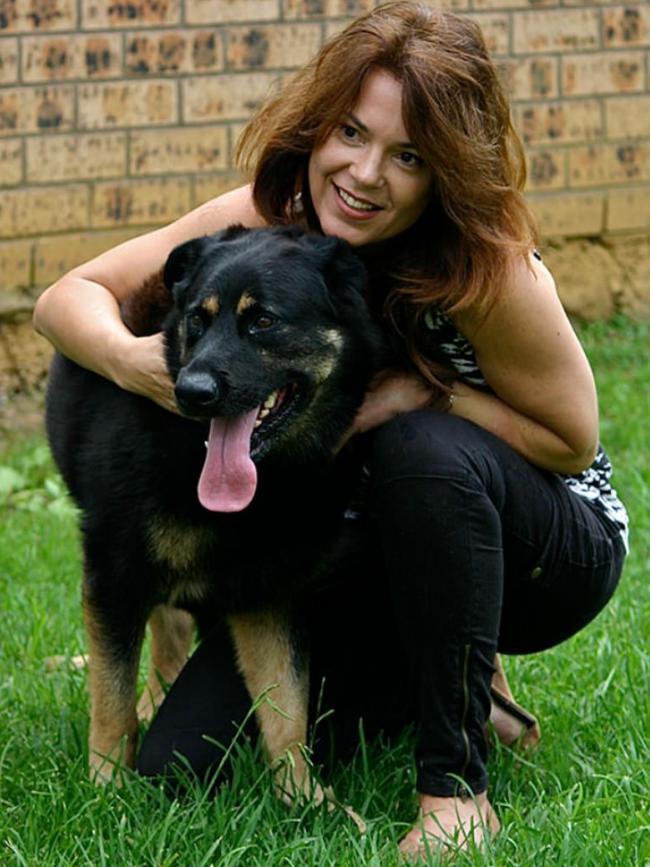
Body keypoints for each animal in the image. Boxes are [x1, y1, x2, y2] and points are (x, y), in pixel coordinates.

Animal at [46, 225, 384, 808]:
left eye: (264, 321)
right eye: (197, 321)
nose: (192, 393)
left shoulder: (270, 591)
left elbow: (286, 706)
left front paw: (307, 799)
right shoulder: (114, 570)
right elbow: (111, 696)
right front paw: (106, 789)